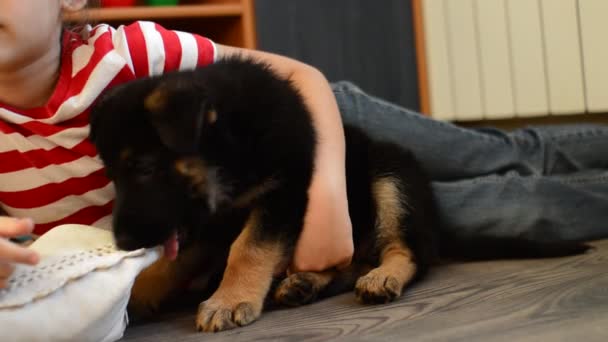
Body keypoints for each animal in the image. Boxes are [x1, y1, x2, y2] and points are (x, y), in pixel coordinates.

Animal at [90, 56, 588, 332]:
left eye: (144, 168)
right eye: (114, 174)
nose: (122, 241)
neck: (230, 138)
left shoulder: (284, 192)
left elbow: (247, 249)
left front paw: (229, 301)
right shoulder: (207, 219)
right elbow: (178, 260)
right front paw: (135, 295)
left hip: (390, 175)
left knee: (408, 253)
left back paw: (382, 276)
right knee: (351, 260)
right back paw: (305, 283)